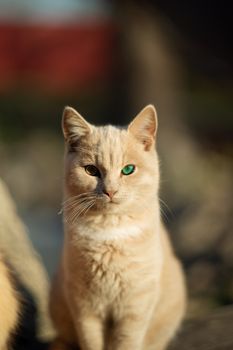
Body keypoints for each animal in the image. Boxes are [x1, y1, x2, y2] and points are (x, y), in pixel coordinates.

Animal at [50, 106, 187, 350]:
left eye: (128, 169)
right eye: (91, 170)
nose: (110, 191)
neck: (109, 231)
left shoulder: (134, 309)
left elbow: (126, 342)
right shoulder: (84, 307)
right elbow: (91, 342)